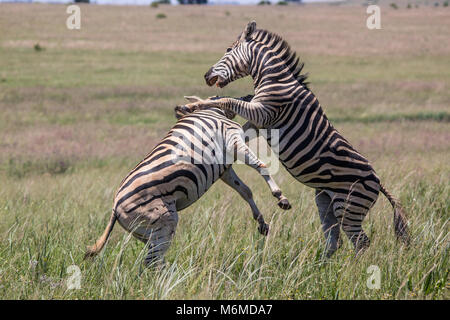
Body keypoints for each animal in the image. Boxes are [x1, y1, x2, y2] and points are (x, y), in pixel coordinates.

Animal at [83, 98, 292, 268]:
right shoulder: (232, 139)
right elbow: (261, 166)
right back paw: (169, 283)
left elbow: (245, 191)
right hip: (164, 223)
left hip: (147, 234)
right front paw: (280, 197)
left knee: (154, 261)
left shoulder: (225, 169)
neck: (212, 111)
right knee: (152, 262)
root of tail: (115, 207)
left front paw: (262, 223)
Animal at [178, 21, 410, 258]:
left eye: (227, 50)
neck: (273, 78)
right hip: (327, 202)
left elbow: (229, 99)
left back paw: (353, 267)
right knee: (335, 240)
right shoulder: (260, 118)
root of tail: (378, 181)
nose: (206, 75)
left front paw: (191, 106)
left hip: (349, 207)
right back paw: (320, 266)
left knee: (361, 243)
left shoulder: (263, 112)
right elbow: (237, 111)